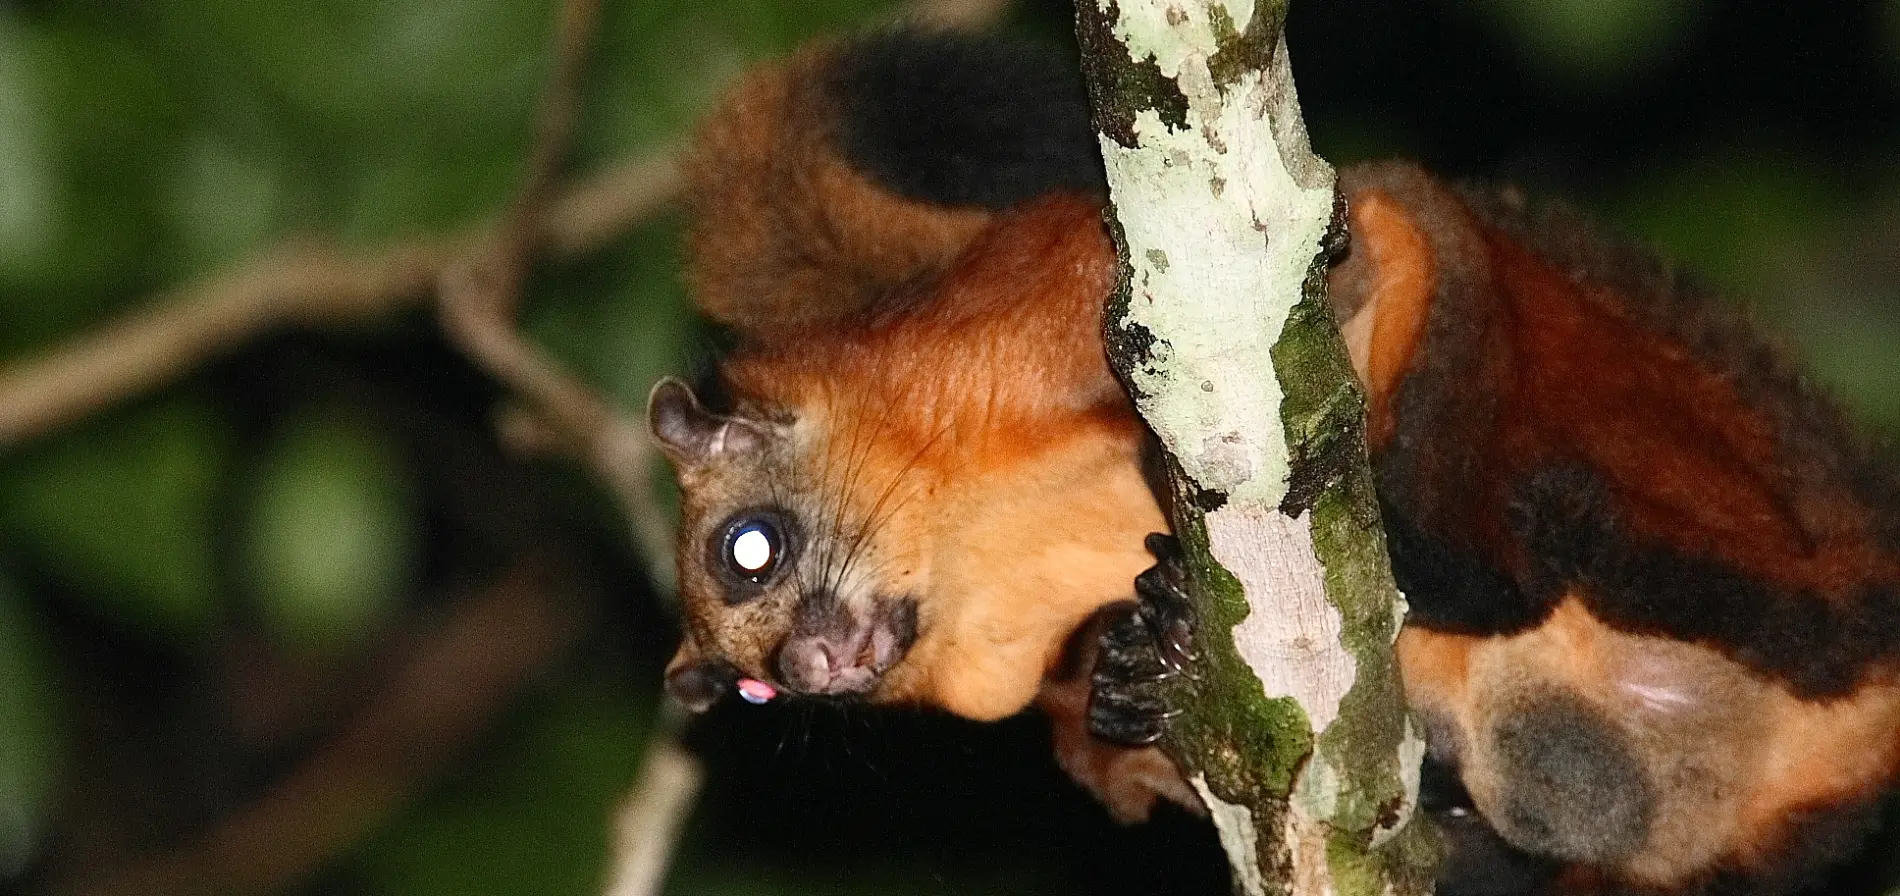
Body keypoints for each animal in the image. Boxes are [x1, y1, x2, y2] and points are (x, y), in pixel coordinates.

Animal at [645, 30, 1900, 896]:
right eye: (751, 687)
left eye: (748, 548)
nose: (812, 666)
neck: (972, 534)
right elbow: (1110, 755)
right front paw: (1134, 665)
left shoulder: (1003, 323)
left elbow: (1346, 253)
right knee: (1573, 794)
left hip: (1655, 464)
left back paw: (1442, 561)